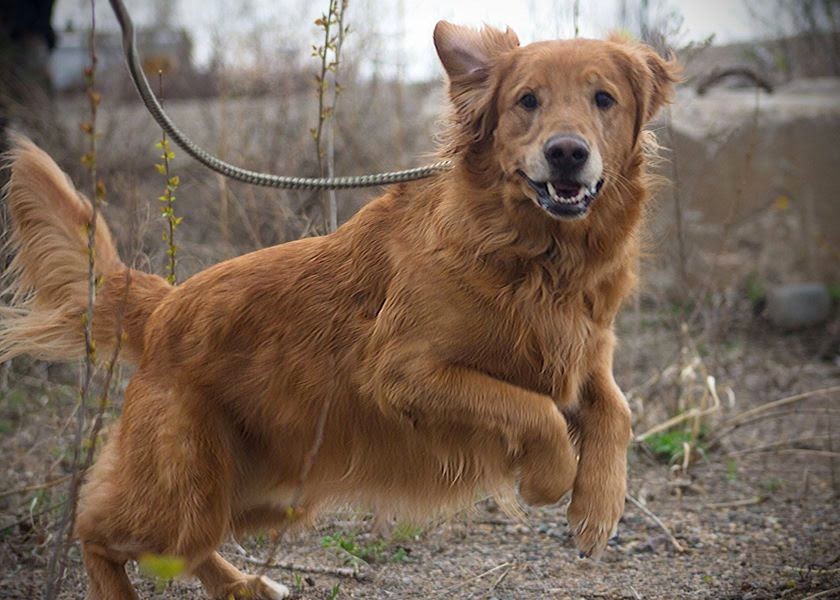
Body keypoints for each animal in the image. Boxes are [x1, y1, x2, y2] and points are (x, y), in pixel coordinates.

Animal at [0, 21, 680, 596]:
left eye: (603, 99)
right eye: (528, 101)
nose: (567, 153)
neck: (533, 256)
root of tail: (166, 305)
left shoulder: (585, 348)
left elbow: (615, 408)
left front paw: (598, 506)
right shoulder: (404, 373)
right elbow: (535, 412)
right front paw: (550, 479)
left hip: (261, 493)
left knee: (182, 546)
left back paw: (245, 585)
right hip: (183, 489)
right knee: (94, 525)